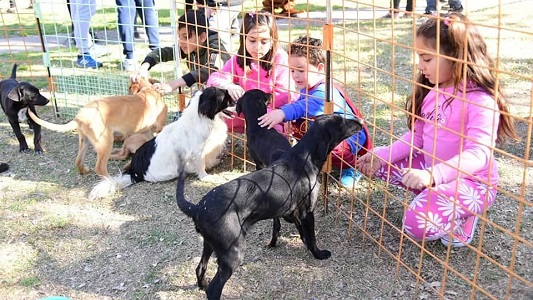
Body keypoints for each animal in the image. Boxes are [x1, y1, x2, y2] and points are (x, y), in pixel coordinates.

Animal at [29, 77, 166, 177]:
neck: (147, 91)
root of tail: (80, 116)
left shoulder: (147, 131)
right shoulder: (158, 127)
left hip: (85, 141)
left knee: (78, 161)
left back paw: (84, 171)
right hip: (106, 141)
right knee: (100, 167)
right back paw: (111, 183)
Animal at [89, 86, 233, 199]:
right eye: (227, 100)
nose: (236, 101)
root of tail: (134, 172)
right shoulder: (197, 153)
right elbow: (201, 165)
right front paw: (205, 177)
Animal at [177, 113, 364, 298]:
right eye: (340, 122)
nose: (360, 122)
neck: (304, 158)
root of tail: (198, 208)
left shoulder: (291, 211)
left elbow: (298, 232)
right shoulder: (307, 211)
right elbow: (311, 237)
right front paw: (319, 254)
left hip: (209, 245)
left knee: (200, 268)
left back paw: (202, 285)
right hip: (233, 252)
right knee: (214, 288)